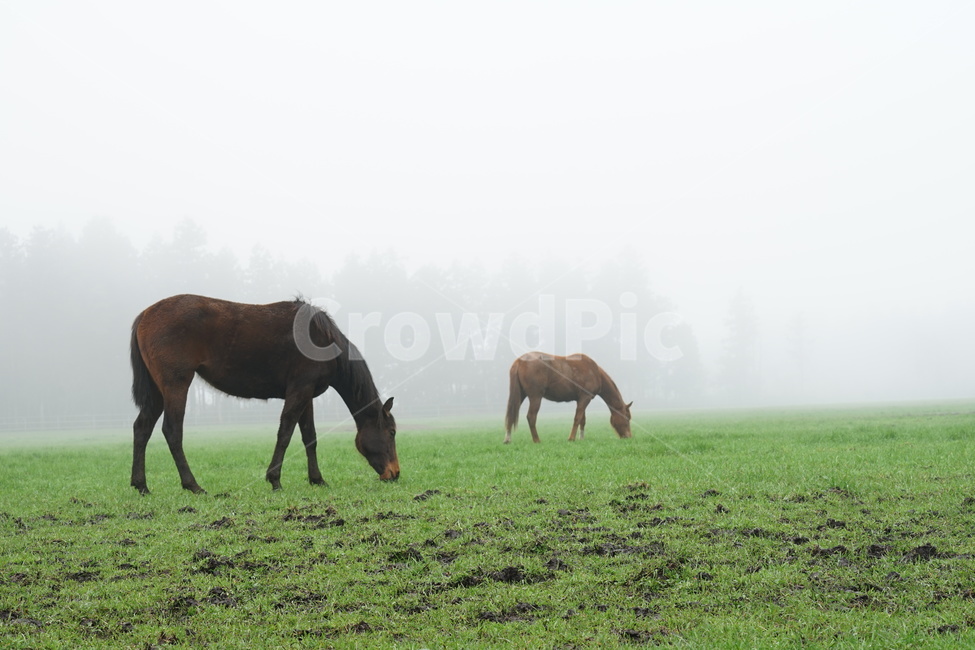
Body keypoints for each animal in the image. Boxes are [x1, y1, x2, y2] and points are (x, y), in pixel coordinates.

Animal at [129, 294, 398, 494]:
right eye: (392, 432)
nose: (395, 473)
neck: (323, 341)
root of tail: (145, 315)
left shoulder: (307, 395)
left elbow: (309, 437)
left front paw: (317, 479)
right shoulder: (299, 390)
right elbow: (285, 433)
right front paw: (275, 479)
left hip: (157, 392)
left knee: (142, 428)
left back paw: (141, 485)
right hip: (176, 385)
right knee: (172, 431)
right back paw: (192, 485)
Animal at [504, 352, 632, 443]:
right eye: (627, 418)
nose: (629, 436)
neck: (594, 372)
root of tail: (520, 360)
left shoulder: (581, 399)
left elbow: (582, 420)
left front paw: (581, 438)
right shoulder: (585, 398)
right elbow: (577, 418)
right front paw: (571, 438)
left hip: (520, 395)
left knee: (511, 414)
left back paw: (507, 439)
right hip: (535, 397)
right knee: (531, 417)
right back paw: (536, 440)